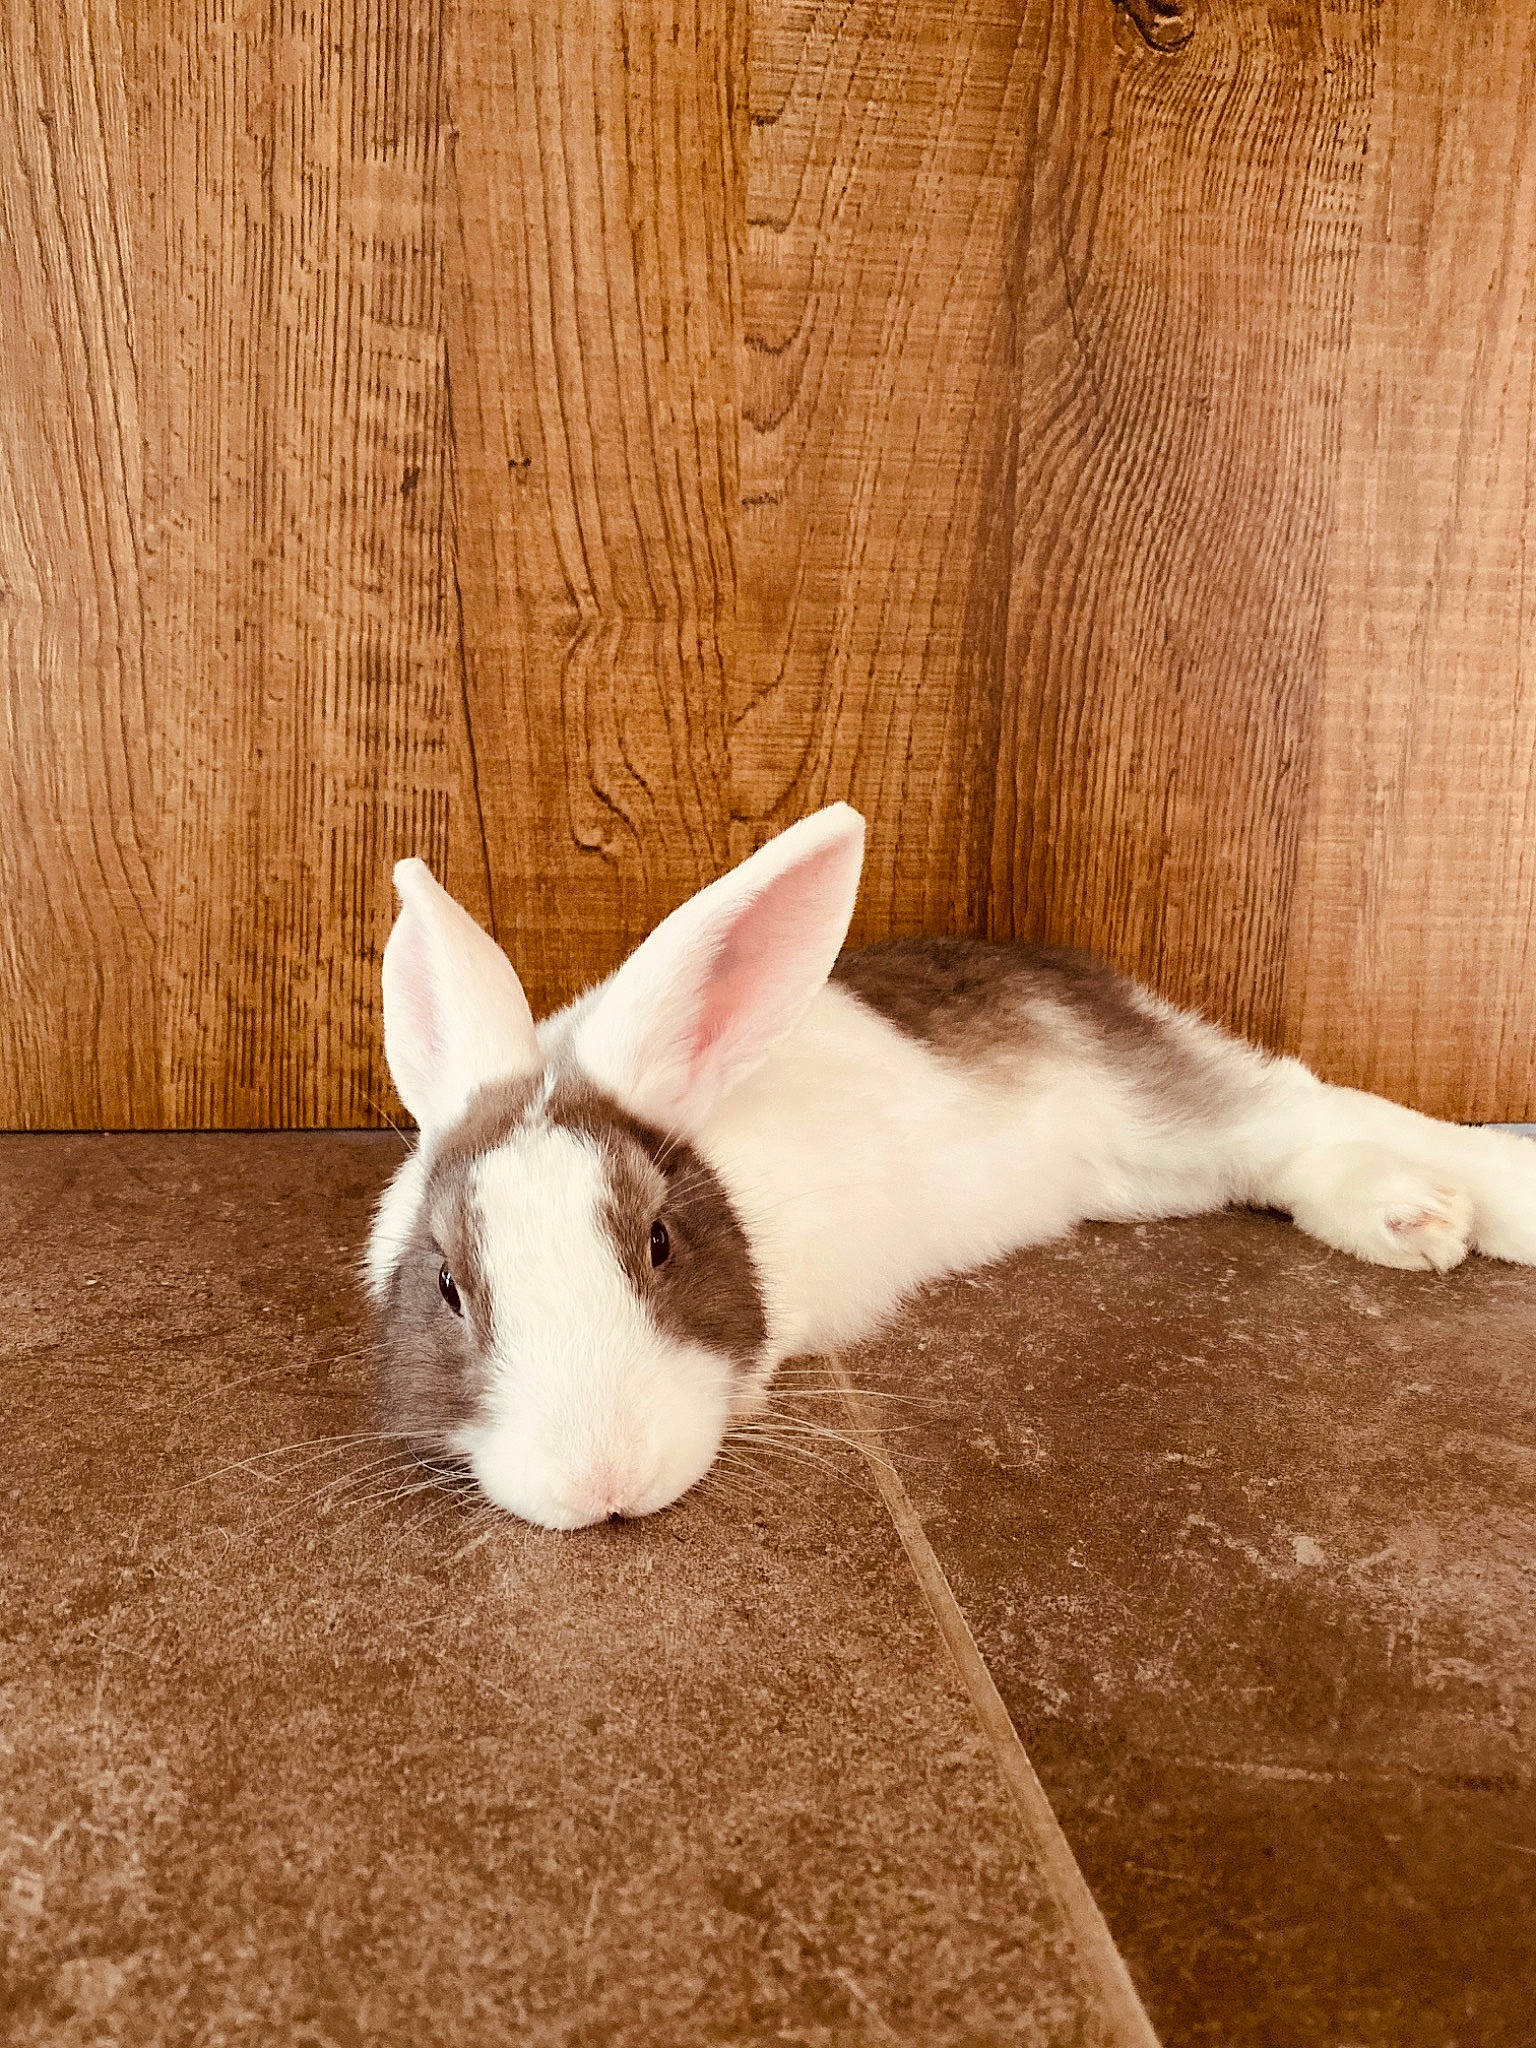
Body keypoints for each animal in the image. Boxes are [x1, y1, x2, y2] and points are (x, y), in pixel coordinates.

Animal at [366, 803, 1536, 1529]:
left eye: (659, 1243)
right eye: (447, 1286)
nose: (602, 1480)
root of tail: (1059, 967)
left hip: (1156, 1100)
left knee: (1307, 1103)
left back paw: (1477, 1204)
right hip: (1139, 1172)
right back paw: (1417, 1220)